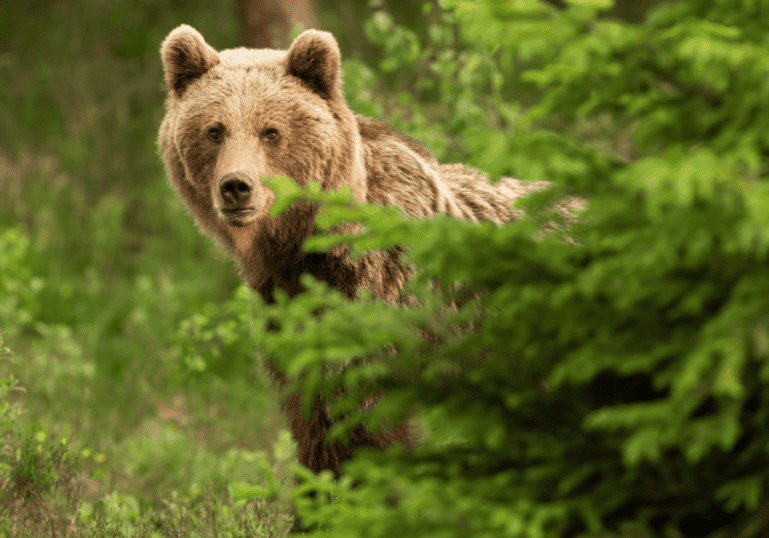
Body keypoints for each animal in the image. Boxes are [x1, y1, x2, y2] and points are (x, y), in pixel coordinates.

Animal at [156, 24, 544, 478]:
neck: (304, 246)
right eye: (214, 130)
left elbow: (356, 421)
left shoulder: (379, 298)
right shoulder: (286, 310)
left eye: (271, 131)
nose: (236, 186)